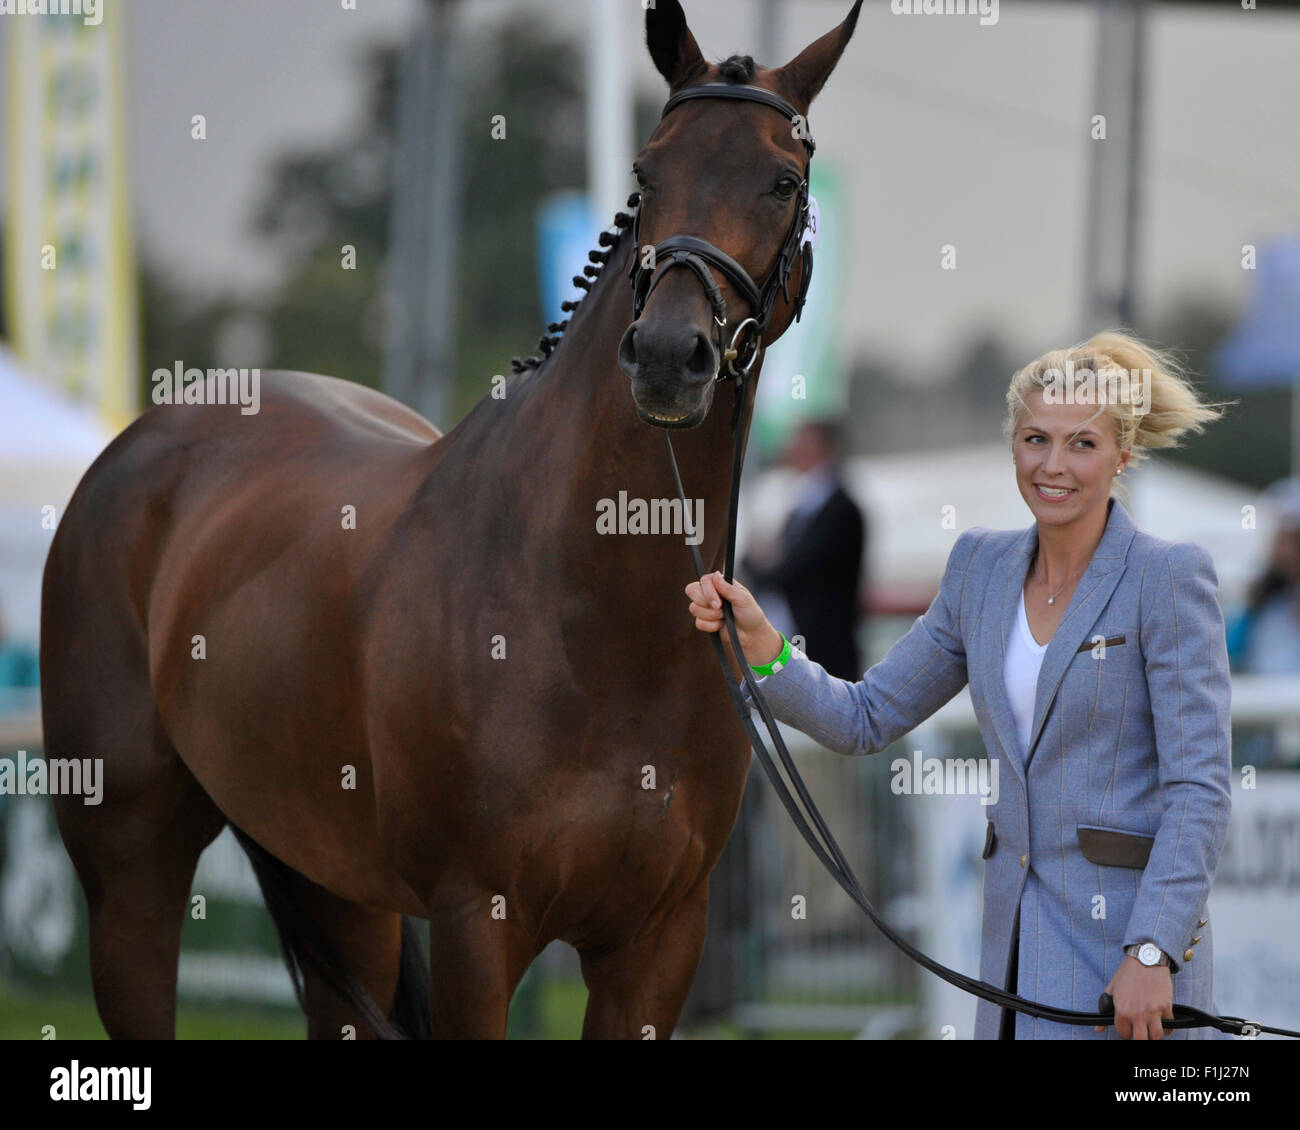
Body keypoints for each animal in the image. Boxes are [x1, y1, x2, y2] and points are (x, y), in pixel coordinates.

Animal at [40, 0, 862, 1039]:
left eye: (782, 180)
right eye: (647, 173)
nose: (669, 356)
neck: (600, 620)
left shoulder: (659, 942)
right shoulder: (480, 925)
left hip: (341, 888)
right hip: (130, 879)